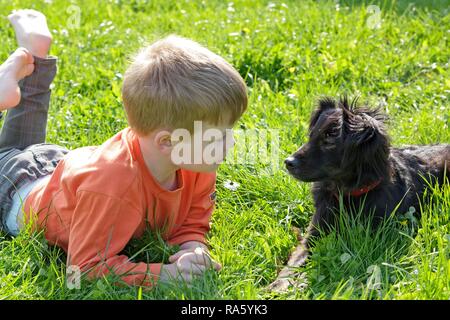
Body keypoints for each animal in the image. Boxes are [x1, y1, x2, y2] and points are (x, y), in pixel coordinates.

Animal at [268, 95, 448, 292]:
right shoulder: (313, 236)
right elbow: (293, 263)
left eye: (329, 140)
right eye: (311, 135)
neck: (347, 193)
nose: (288, 162)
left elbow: (321, 263)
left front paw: (302, 282)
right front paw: (278, 285)